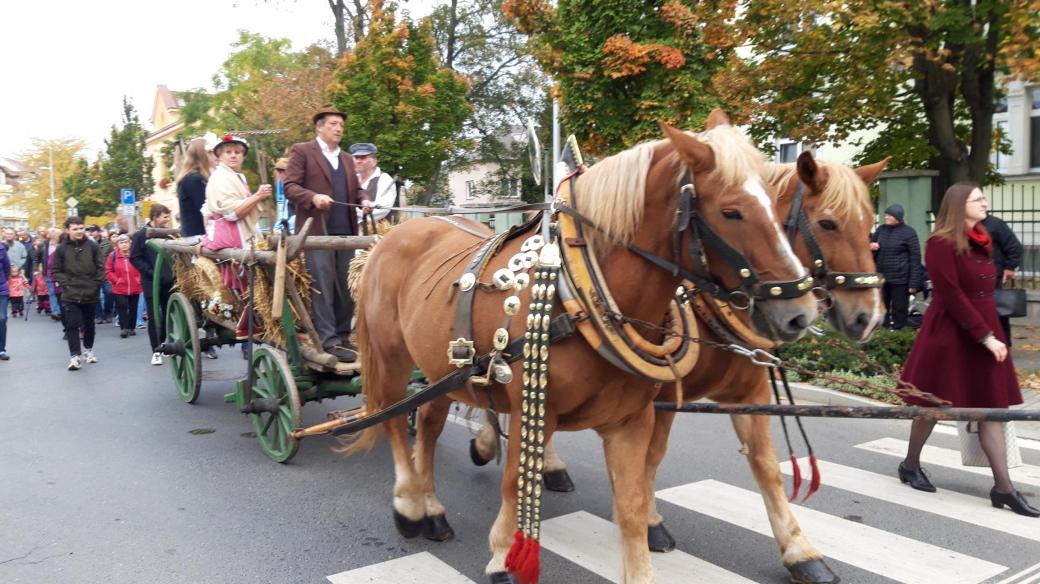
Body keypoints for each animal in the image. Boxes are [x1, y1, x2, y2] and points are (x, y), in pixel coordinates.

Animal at [349, 110, 819, 581]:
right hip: (393, 357)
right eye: (731, 211)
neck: (579, 294)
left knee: (428, 422)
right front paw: (502, 553)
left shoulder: (633, 421)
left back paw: (431, 508)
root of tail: (392, 236)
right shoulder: (533, 411)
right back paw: (409, 504)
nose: (800, 313)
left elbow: (632, 505)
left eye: (777, 206)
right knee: (394, 418)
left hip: (442, 369)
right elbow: (515, 482)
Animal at [476, 150, 890, 581]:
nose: (870, 317)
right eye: (828, 223)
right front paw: (650, 523)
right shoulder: (660, 400)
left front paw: (800, 551)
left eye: (868, 225)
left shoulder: (748, 394)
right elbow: (651, 458)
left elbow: (766, 467)